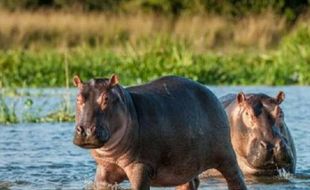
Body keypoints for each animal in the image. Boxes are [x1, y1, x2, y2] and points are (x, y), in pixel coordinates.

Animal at [72, 75, 247, 190]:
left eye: (106, 98)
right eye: (78, 98)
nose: (86, 131)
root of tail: (210, 93)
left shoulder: (140, 167)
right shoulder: (104, 169)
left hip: (226, 156)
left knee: (235, 178)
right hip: (185, 164)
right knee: (189, 183)